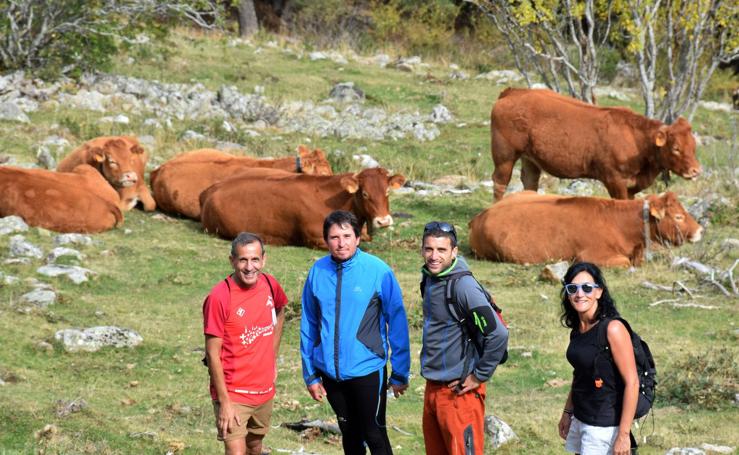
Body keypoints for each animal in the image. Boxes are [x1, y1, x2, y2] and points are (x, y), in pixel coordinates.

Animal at [488, 88, 704, 201]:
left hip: (530, 158)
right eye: (676, 148)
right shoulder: (614, 179)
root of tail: (513, 92)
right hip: (504, 155)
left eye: (693, 147)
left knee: (530, 181)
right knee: (500, 181)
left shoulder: (631, 186)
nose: (696, 171)